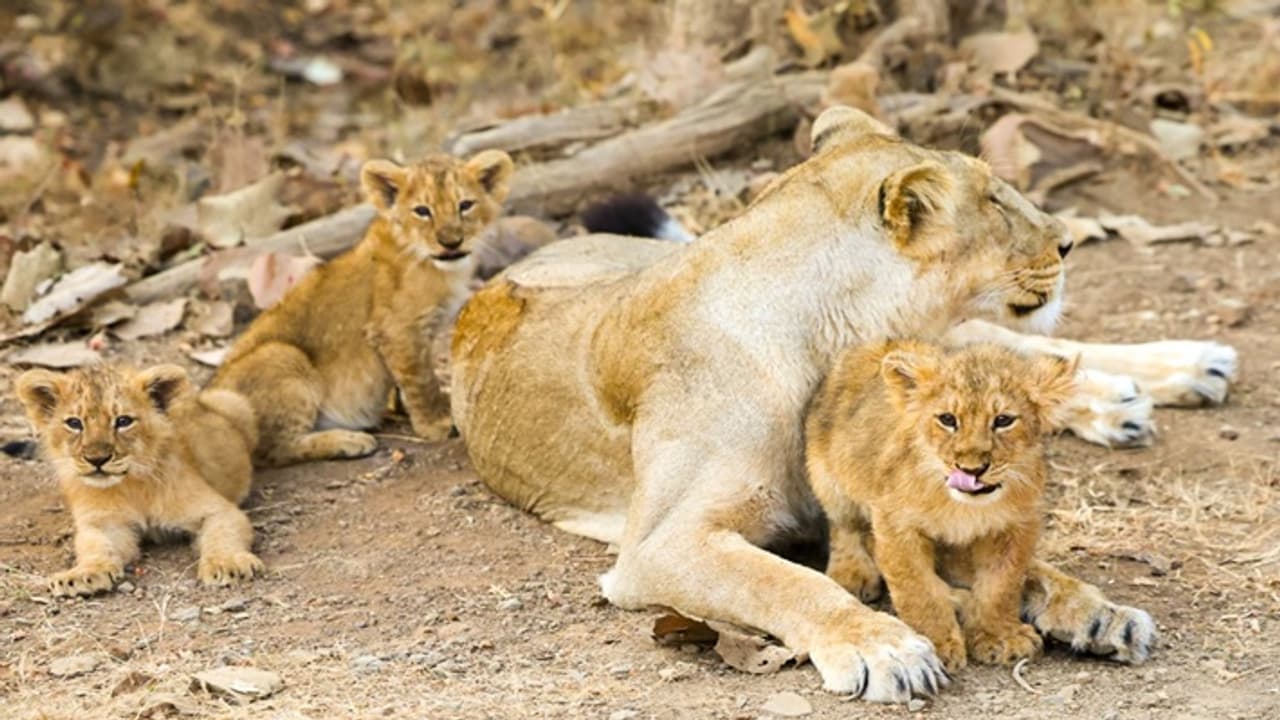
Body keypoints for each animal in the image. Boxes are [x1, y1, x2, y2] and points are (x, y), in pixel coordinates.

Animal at [15, 364, 262, 596]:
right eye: (74, 423)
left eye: (123, 421)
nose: (97, 459)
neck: (131, 485)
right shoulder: (103, 523)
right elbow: (96, 547)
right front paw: (83, 574)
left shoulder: (219, 510)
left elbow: (223, 534)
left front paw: (226, 563)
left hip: (234, 402)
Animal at [211, 150, 514, 466]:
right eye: (422, 211)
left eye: (465, 205)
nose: (451, 242)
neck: (435, 265)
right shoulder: (397, 329)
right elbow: (421, 380)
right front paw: (437, 424)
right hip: (282, 355)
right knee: (273, 450)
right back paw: (348, 440)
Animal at [805, 341, 1089, 672]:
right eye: (948, 419)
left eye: (1003, 420)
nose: (971, 469)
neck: (963, 505)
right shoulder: (895, 522)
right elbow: (917, 587)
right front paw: (936, 643)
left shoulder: (1017, 525)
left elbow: (1001, 585)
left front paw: (999, 636)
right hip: (830, 480)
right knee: (844, 527)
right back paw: (853, 574)